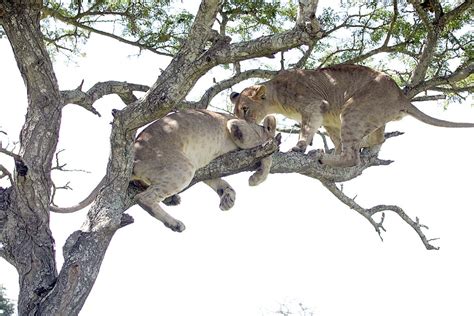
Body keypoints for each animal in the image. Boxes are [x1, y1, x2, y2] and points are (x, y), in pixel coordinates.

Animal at [50, 109, 276, 232]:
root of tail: (135, 150)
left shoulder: (208, 165)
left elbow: (220, 182)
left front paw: (228, 199)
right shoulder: (237, 127)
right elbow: (265, 152)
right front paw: (258, 177)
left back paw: (173, 201)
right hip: (183, 167)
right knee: (144, 198)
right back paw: (174, 223)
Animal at [231, 64, 474, 168]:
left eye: (245, 109)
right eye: (236, 111)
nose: (241, 120)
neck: (275, 94)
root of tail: (400, 96)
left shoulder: (313, 105)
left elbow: (306, 129)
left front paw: (300, 147)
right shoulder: (328, 118)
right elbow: (336, 140)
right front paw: (330, 149)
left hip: (352, 109)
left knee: (352, 157)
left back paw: (323, 157)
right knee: (374, 140)